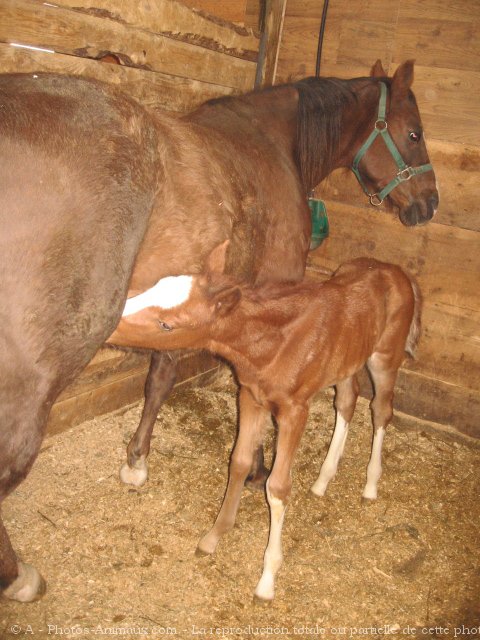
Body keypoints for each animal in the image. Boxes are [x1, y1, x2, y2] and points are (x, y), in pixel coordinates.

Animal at [0, 58, 438, 600]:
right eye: (414, 133)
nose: (430, 203)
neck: (271, 140)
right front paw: (259, 466)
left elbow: (161, 377)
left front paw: (137, 460)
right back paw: (18, 576)